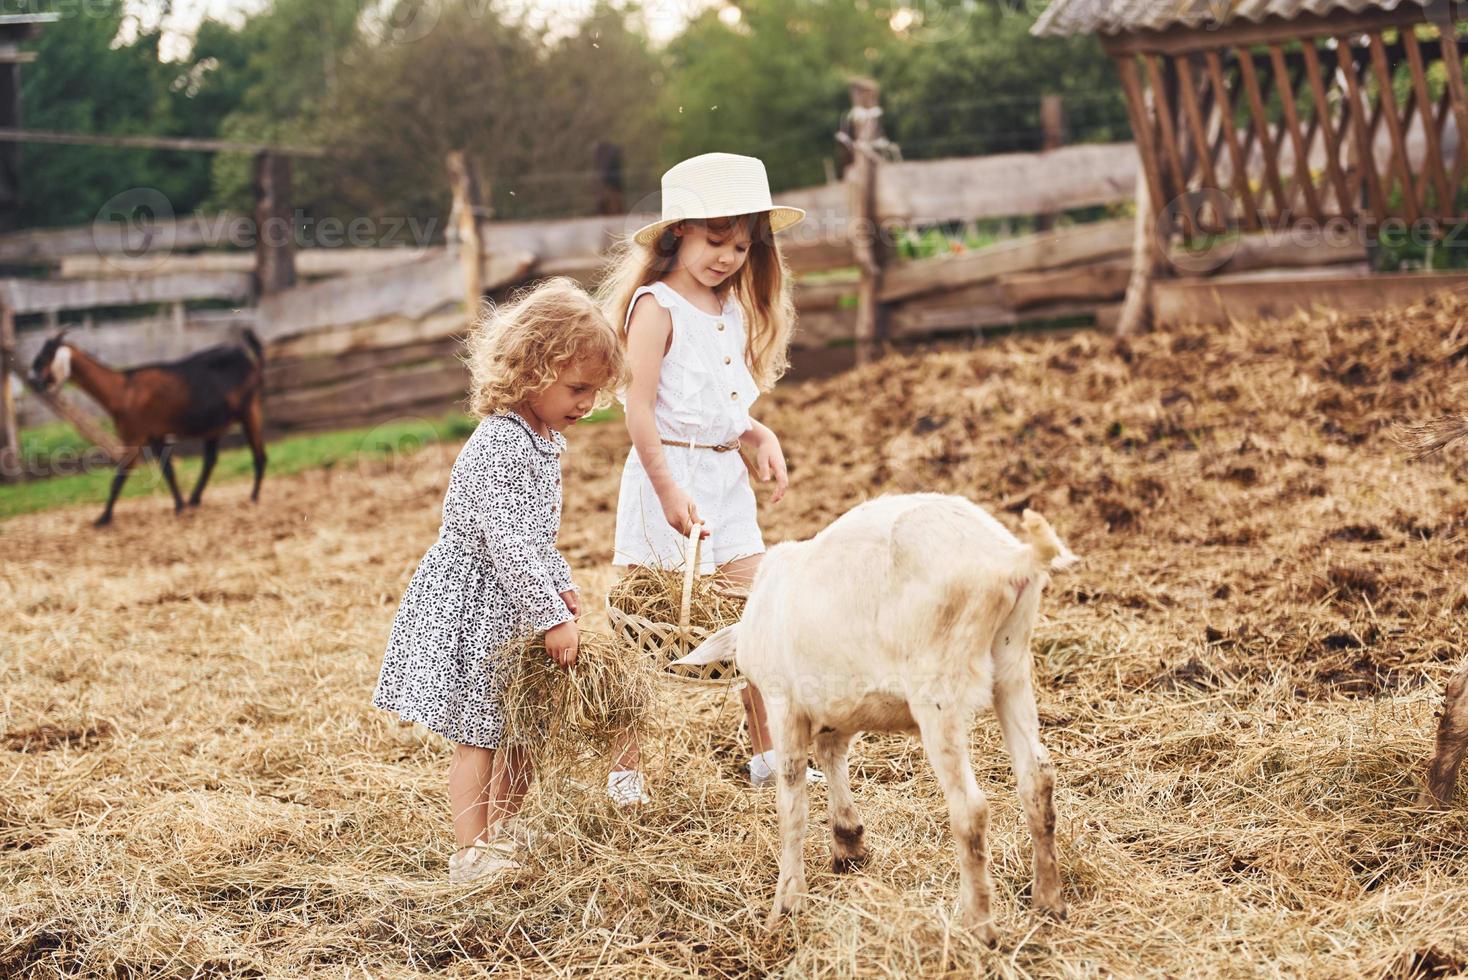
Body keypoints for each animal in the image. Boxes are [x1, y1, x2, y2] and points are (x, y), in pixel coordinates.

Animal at [678, 492, 1080, 938]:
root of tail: (1008, 559)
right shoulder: (836, 708)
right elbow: (831, 756)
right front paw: (849, 843)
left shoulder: (785, 704)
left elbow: (791, 803)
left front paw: (787, 903)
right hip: (1012, 667)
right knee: (1037, 780)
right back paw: (1049, 903)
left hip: (937, 687)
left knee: (971, 808)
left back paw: (978, 925)